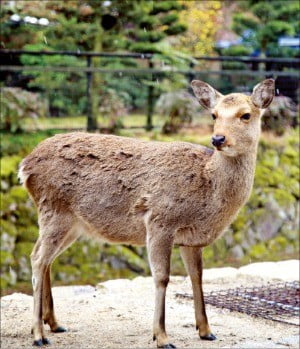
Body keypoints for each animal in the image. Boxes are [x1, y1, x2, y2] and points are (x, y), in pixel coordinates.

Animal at [18, 77, 274, 346]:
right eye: (214, 114)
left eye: (246, 115)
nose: (218, 139)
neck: (208, 189)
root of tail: (25, 166)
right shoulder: (160, 221)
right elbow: (162, 277)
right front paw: (161, 336)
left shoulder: (192, 239)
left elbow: (197, 276)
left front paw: (206, 330)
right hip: (54, 210)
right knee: (37, 258)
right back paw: (38, 334)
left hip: (73, 224)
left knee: (45, 258)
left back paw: (54, 323)